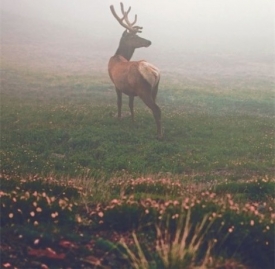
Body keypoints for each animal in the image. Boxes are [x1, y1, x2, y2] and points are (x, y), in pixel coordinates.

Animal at [108, 2, 163, 138]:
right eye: (133, 37)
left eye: (137, 34)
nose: (149, 41)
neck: (118, 56)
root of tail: (155, 73)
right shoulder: (131, 90)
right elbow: (131, 104)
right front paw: (133, 121)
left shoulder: (116, 84)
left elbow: (119, 102)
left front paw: (119, 118)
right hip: (155, 89)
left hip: (144, 90)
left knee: (157, 109)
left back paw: (159, 135)